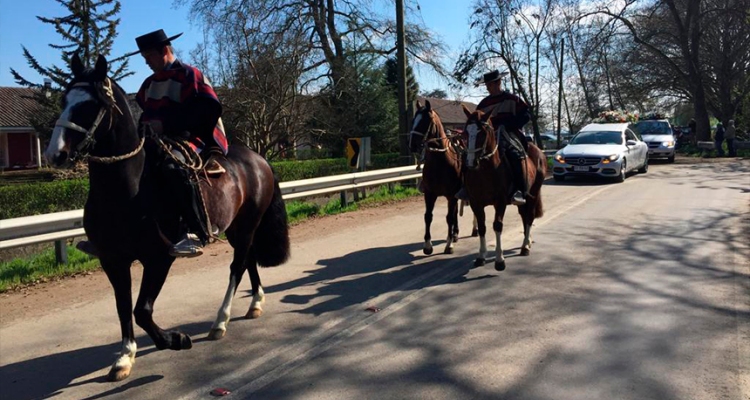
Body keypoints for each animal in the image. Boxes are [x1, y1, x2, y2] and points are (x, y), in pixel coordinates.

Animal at [44, 53, 290, 382]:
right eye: (64, 100)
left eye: (91, 105)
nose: (54, 154)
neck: (127, 191)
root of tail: (258, 158)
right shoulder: (113, 260)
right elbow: (123, 306)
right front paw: (125, 356)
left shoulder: (159, 258)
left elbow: (142, 311)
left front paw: (176, 340)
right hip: (237, 228)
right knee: (248, 260)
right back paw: (255, 304)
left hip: (249, 224)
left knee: (237, 267)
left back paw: (220, 322)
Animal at [458, 104, 548, 270]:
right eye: (466, 132)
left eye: (482, 133)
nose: (470, 162)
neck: (485, 171)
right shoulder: (475, 203)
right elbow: (482, 227)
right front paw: (481, 256)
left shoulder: (500, 202)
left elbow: (497, 225)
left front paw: (499, 260)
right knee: (524, 215)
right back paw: (527, 241)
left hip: (533, 193)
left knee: (530, 216)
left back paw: (525, 246)